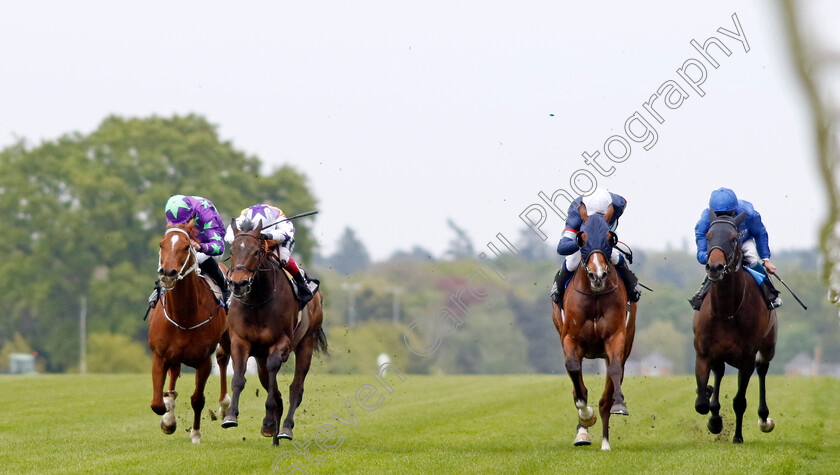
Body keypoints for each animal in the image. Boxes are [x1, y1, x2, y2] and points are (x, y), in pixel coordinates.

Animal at [148, 223, 231, 446]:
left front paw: (195, 433)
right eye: (161, 244)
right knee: (174, 373)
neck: (184, 316)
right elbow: (158, 403)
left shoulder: (203, 361)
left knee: (224, 358)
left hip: (228, 335)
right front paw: (168, 420)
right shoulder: (160, 355)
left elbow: (197, 399)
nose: (168, 273)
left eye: (186, 247)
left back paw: (224, 405)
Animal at [223, 219, 328, 446]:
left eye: (256, 252)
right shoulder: (240, 341)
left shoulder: (282, 343)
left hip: (306, 343)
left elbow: (276, 375)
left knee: (295, 389)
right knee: (274, 386)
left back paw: (285, 429)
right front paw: (230, 416)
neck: (257, 301)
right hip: (260, 357)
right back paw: (275, 436)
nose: (238, 284)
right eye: (232, 250)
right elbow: (238, 378)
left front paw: (269, 422)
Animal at [548, 206, 632, 452]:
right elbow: (577, 384)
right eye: (581, 238)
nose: (598, 275)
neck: (594, 296)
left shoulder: (616, 337)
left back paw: (605, 441)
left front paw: (619, 404)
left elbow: (614, 371)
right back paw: (583, 433)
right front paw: (586, 417)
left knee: (607, 395)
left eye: (610, 238)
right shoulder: (570, 339)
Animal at [692, 210, 776, 444]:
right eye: (708, 236)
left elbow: (739, 401)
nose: (714, 267)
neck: (726, 311)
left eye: (733, 238)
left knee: (762, 368)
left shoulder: (746, 358)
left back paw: (764, 419)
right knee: (719, 373)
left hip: (768, 346)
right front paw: (713, 416)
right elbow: (702, 403)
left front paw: (737, 436)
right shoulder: (703, 354)